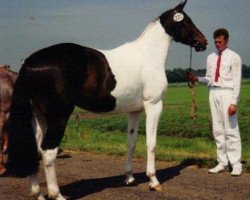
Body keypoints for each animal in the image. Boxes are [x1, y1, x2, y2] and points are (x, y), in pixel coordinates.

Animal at [7, 0, 207, 199]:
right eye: (186, 21)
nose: (203, 42)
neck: (148, 56)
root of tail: (30, 62)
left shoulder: (134, 111)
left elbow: (131, 142)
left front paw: (129, 178)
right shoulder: (154, 106)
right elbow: (151, 143)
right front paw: (153, 181)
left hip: (38, 116)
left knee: (35, 149)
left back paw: (37, 193)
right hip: (59, 117)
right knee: (48, 152)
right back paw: (57, 194)